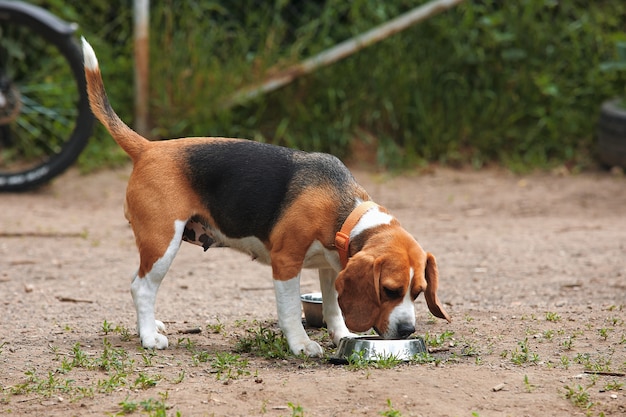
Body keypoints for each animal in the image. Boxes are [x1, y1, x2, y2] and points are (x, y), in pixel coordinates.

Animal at [80, 39, 448, 356]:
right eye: (389, 290)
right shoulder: (286, 262)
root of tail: (148, 148)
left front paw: (343, 335)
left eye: (418, 292)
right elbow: (290, 310)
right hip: (162, 242)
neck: (347, 213)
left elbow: (333, 307)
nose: (407, 331)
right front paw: (301, 344)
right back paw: (148, 337)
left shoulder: (331, 267)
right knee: (141, 286)